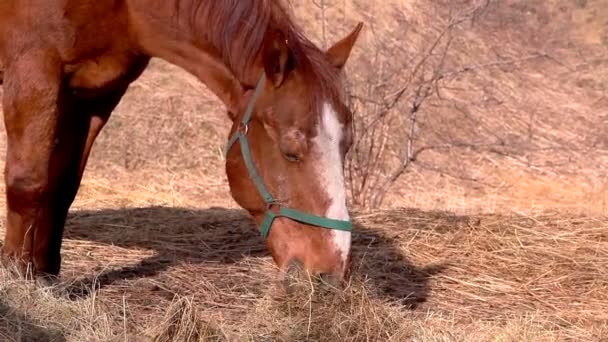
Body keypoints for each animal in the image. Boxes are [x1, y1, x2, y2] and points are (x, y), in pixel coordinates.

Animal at [0, 0, 360, 284]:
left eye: (347, 146)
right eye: (290, 151)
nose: (330, 271)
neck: (124, 6)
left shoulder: (94, 93)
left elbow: (62, 186)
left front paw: (44, 276)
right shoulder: (34, 69)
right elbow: (30, 183)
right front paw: (18, 275)